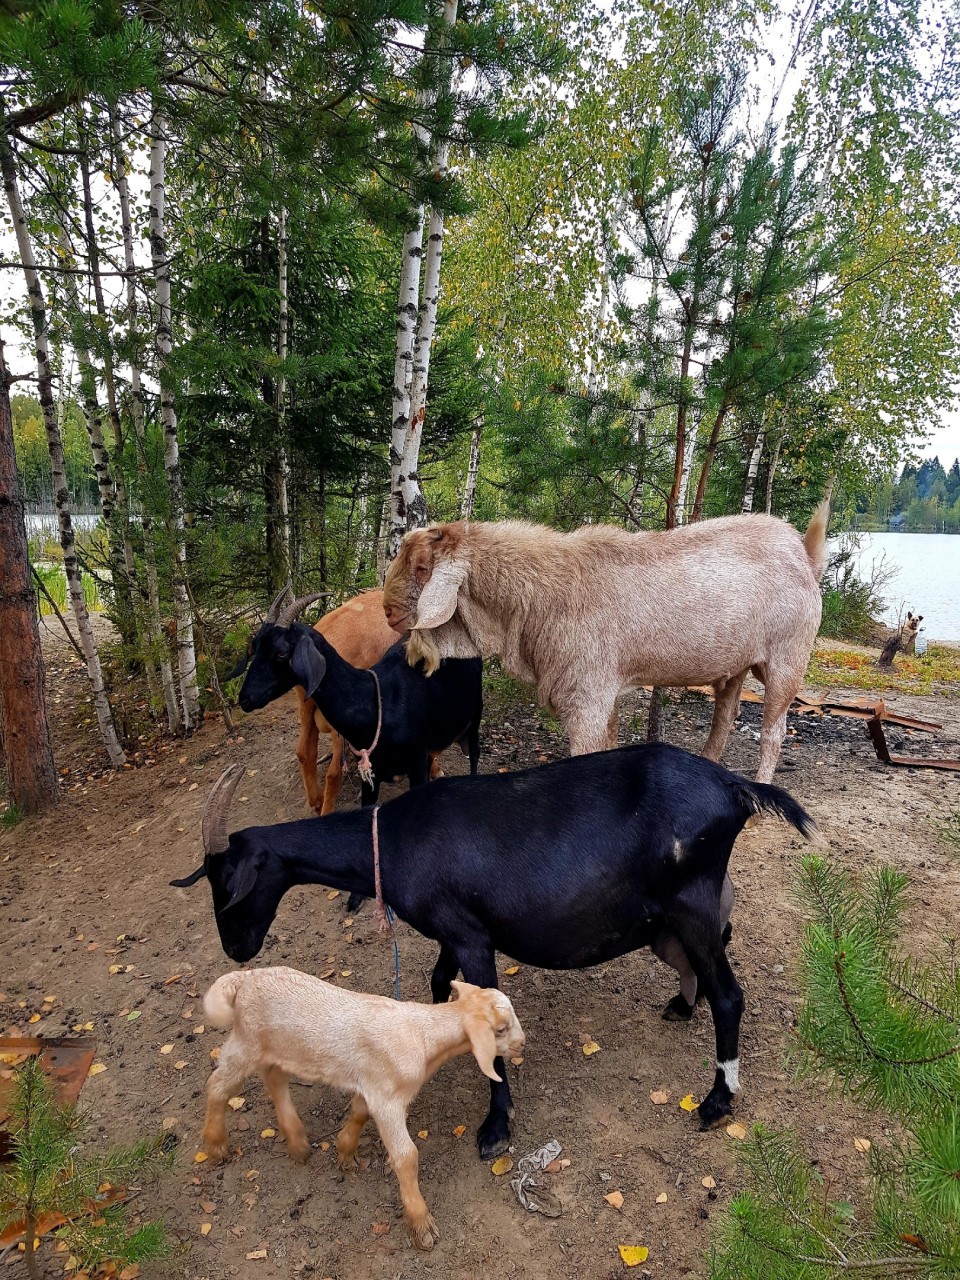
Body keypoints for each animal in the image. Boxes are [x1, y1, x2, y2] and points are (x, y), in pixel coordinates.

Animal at [171, 748, 815, 1158]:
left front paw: (496, 1126)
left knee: (730, 993)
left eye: (229, 883)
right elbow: (437, 986)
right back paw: (683, 1007)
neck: (395, 838)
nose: (235, 947)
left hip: (691, 904)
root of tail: (736, 788)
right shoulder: (450, 932)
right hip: (675, 919)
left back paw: (716, 1100)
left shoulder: (473, 938)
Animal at [200, 967, 523, 1250]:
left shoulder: (374, 1086)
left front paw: (345, 1151)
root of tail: (243, 978)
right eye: (501, 1029)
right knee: (217, 1085)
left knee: (274, 1078)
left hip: (276, 1047)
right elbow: (406, 1157)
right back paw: (216, 1145)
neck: (423, 1036)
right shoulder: (388, 1099)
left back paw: (297, 1142)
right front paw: (421, 1224)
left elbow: (359, 1111)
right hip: (247, 1042)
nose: (522, 1044)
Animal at [235, 594, 483, 808]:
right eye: (255, 647)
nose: (245, 698)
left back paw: (316, 803)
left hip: (306, 707)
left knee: (306, 752)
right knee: (329, 769)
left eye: (281, 652)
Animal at [381, 503, 830, 783]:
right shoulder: (603, 691)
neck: (538, 594)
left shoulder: (586, 696)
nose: (387, 612)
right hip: (737, 664)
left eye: (422, 568)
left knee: (774, 730)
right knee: (725, 716)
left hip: (788, 656)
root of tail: (804, 554)